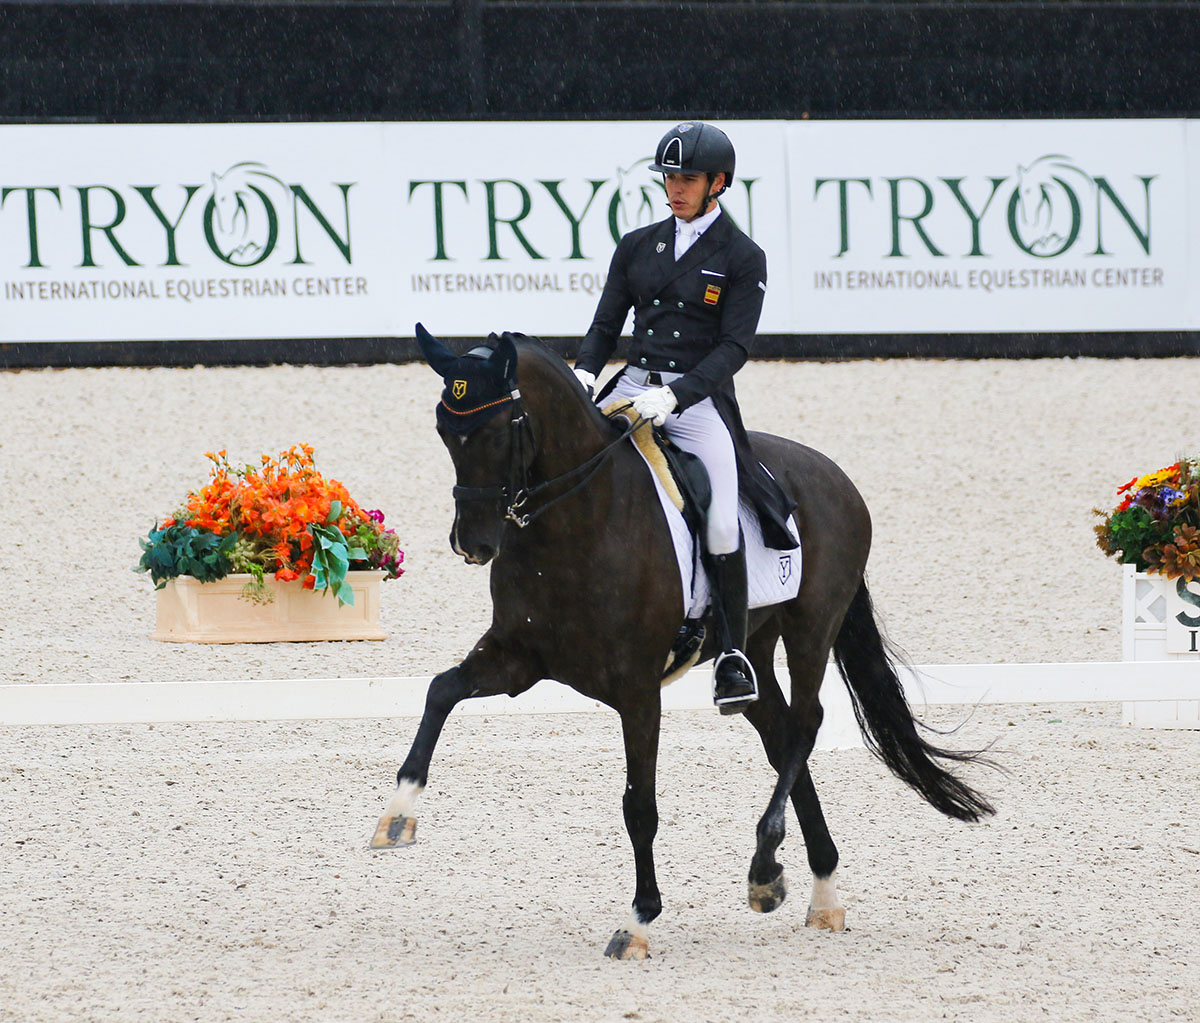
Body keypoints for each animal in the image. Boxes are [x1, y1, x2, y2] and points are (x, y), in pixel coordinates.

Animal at [372, 326, 993, 960]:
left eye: (500, 428)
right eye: (444, 430)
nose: (471, 544)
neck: (578, 520)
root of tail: (835, 477)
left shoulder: (638, 691)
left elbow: (638, 807)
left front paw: (639, 922)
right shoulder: (517, 659)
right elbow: (439, 691)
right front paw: (397, 815)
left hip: (811, 626)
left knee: (805, 725)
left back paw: (765, 869)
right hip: (752, 648)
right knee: (778, 731)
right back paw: (816, 891)